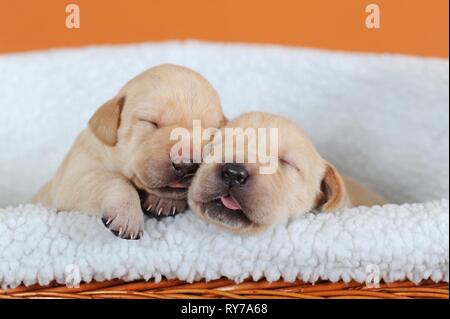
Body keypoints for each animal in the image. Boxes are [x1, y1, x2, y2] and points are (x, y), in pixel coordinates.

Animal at [32, 64, 225, 240]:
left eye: (211, 135)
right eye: (150, 122)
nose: (187, 166)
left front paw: (164, 200)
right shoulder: (73, 178)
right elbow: (115, 179)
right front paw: (127, 213)